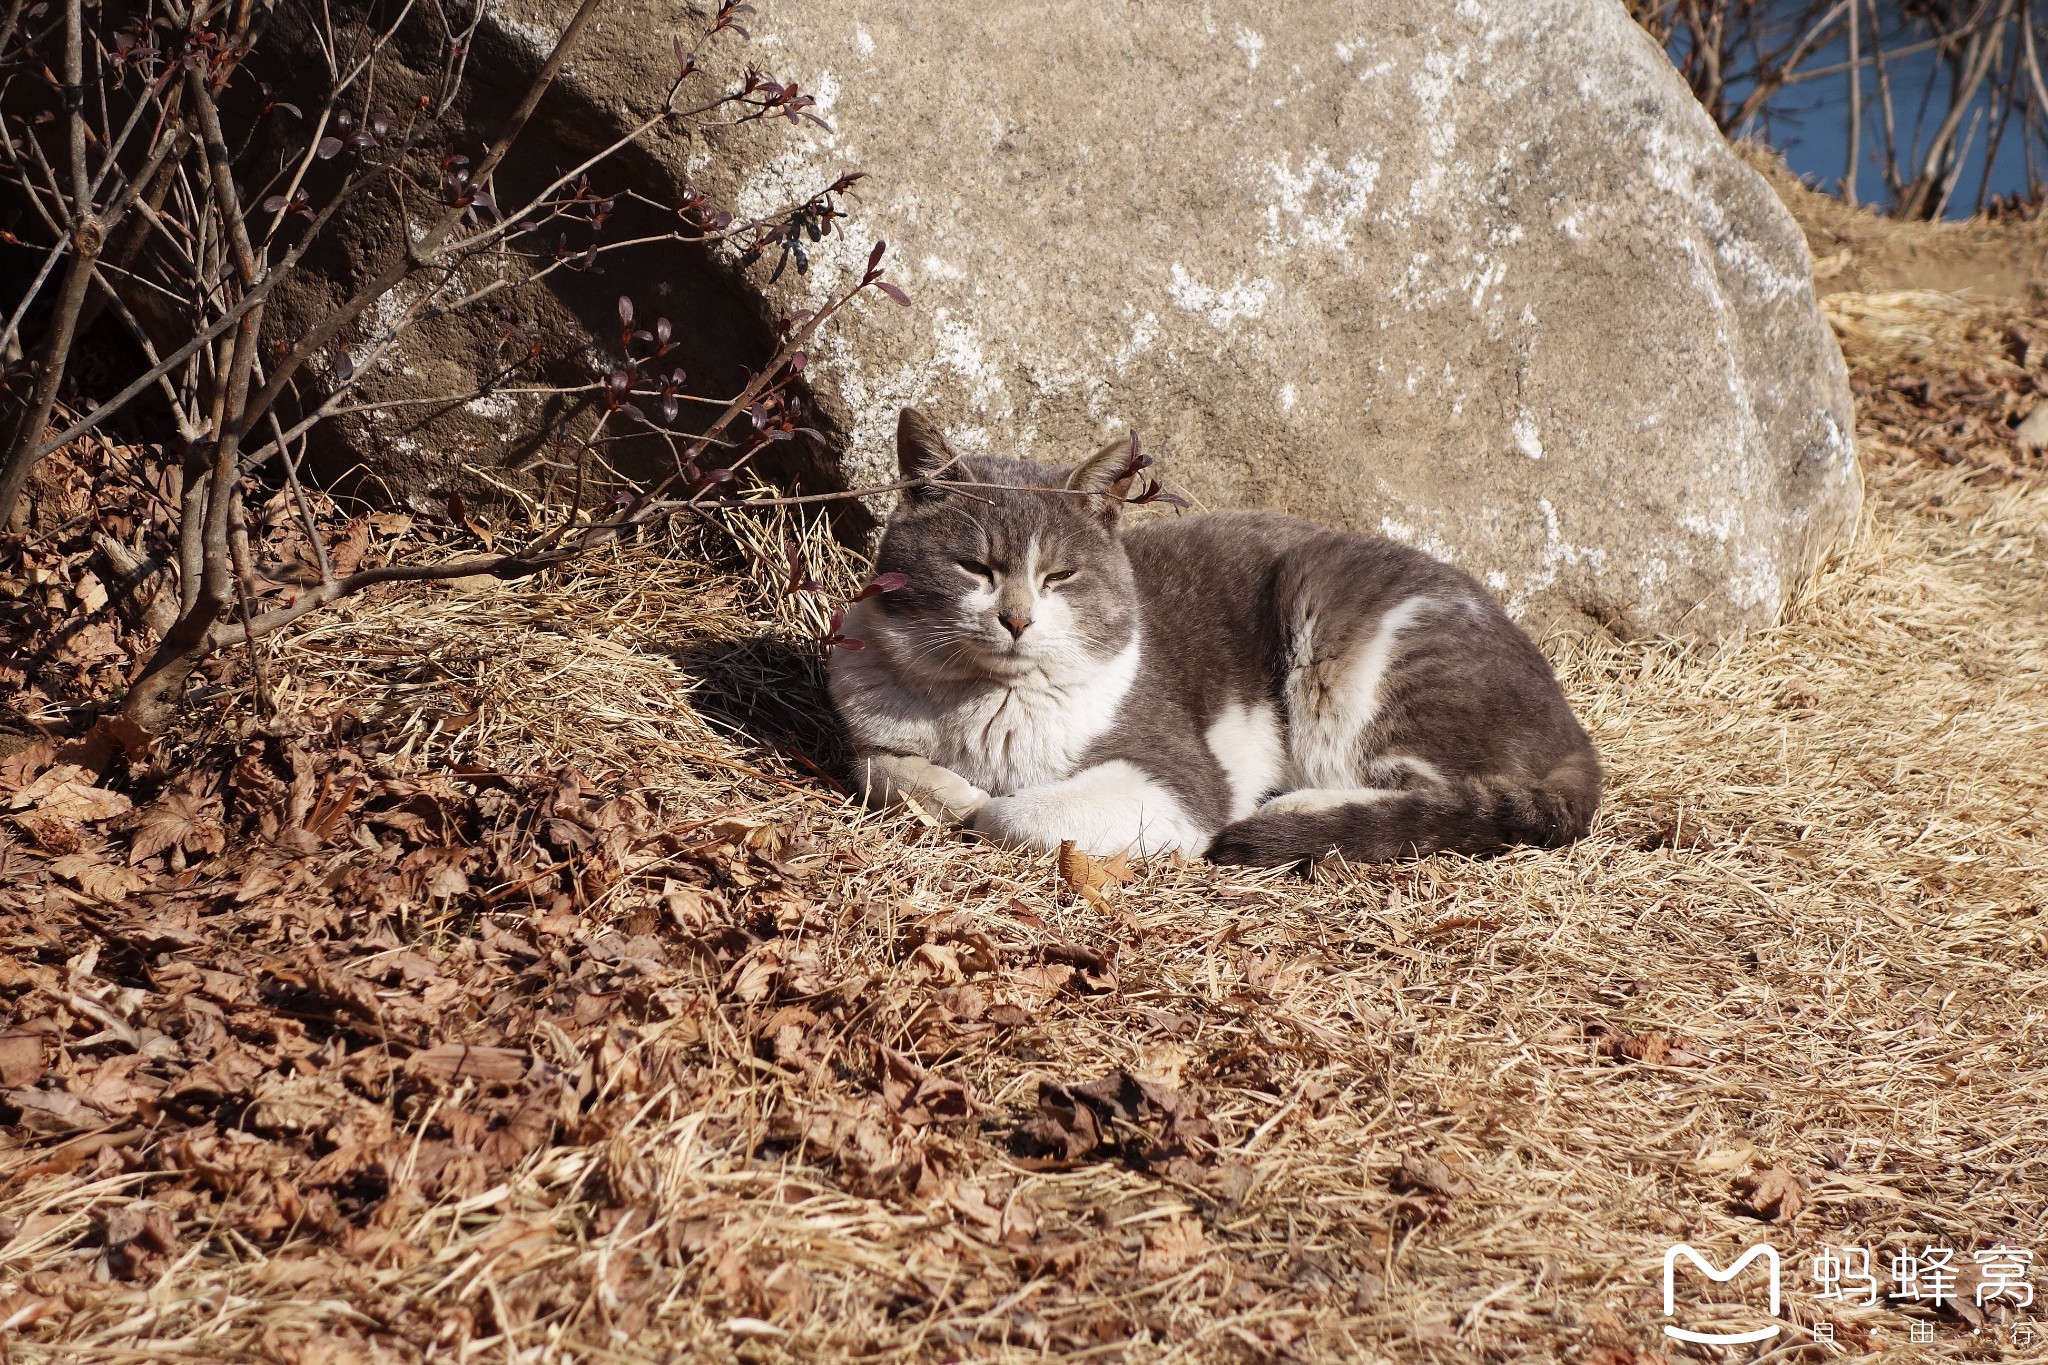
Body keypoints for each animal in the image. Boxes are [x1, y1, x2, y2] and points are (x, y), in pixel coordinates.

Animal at [823, 411, 1589, 871]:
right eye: (975, 567)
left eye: (1060, 575)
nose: (1017, 619)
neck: (984, 707)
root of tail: (1576, 733)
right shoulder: (865, 709)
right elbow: (875, 767)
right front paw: (944, 792)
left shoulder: (1175, 775)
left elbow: (1010, 813)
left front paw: (978, 804)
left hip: (1346, 646)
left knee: (1437, 795)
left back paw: (1295, 810)